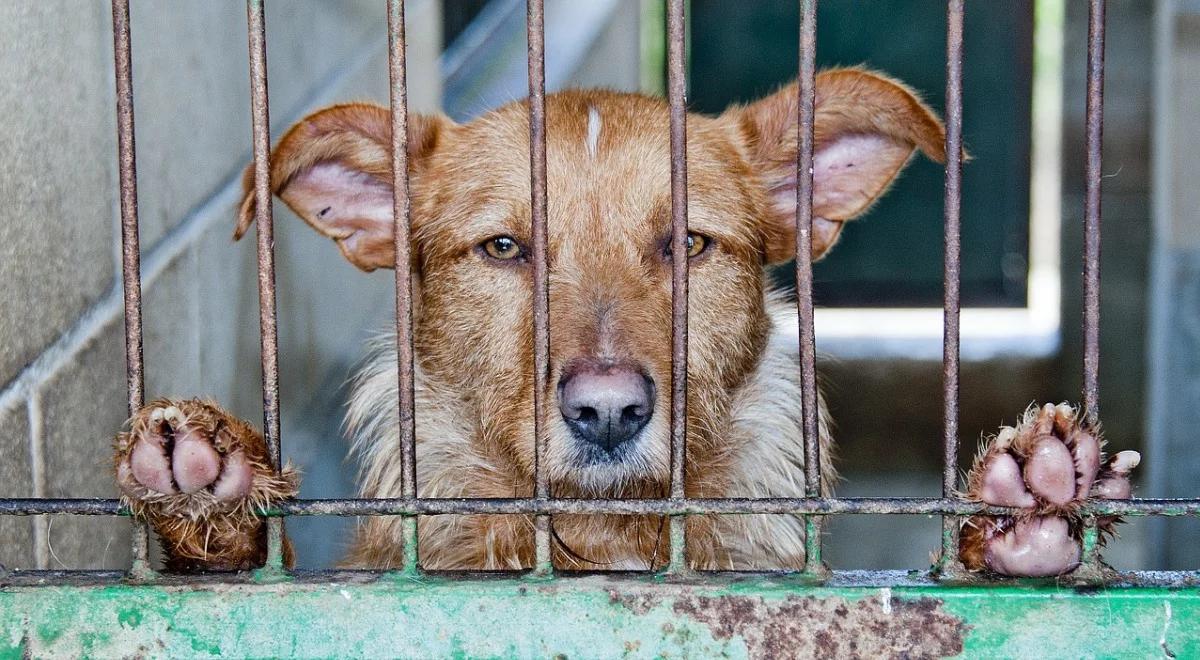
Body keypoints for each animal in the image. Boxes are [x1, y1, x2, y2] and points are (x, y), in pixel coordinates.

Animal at [110, 69, 1132, 580]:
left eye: (689, 243)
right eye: (505, 248)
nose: (607, 413)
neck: (606, 540)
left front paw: (1018, 518)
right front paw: (211, 495)